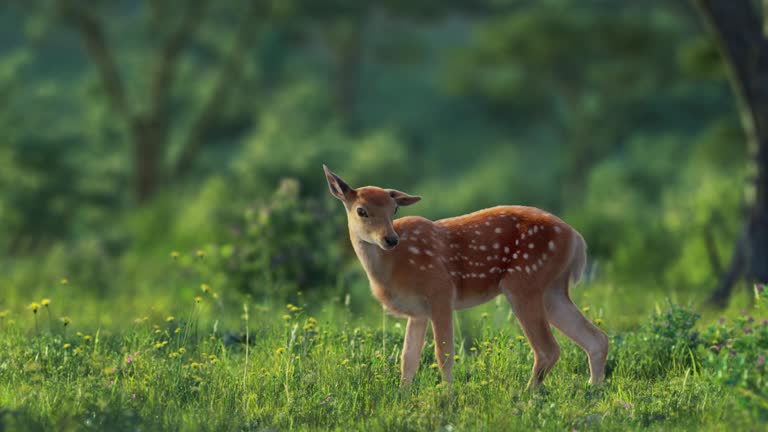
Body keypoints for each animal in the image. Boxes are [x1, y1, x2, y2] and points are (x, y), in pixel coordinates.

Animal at [322, 165, 608, 388]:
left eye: (394, 210)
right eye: (361, 210)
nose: (390, 239)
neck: (393, 268)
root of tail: (577, 239)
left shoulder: (440, 291)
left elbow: (443, 353)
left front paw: (445, 398)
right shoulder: (417, 311)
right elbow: (408, 359)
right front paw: (403, 398)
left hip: (524, 282)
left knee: (548, 349)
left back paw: (526, 397)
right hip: (552, 290)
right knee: (596, 339)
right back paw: (592, 393)